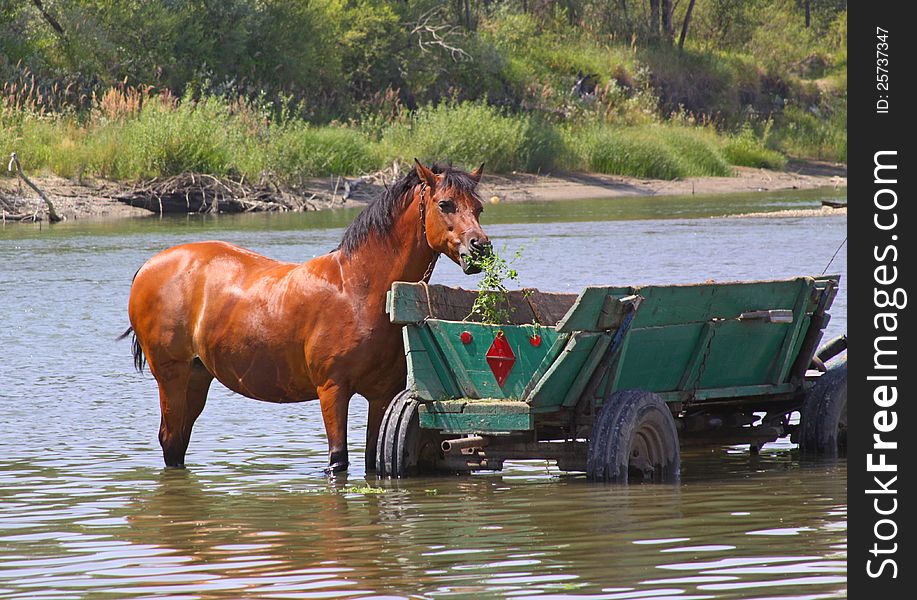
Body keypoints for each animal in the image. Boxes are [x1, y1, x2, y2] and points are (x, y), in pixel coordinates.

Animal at [125, 162, 490, 472]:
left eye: (478, 207)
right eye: (445, 204)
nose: (480, 248)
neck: (357, 289)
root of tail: (149, 267)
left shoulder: (381, 396)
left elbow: (372, 461)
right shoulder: (332, 391)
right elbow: (337, 460)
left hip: (197, 377)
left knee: (178, 443)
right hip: (171, 376)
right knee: (170, 440)